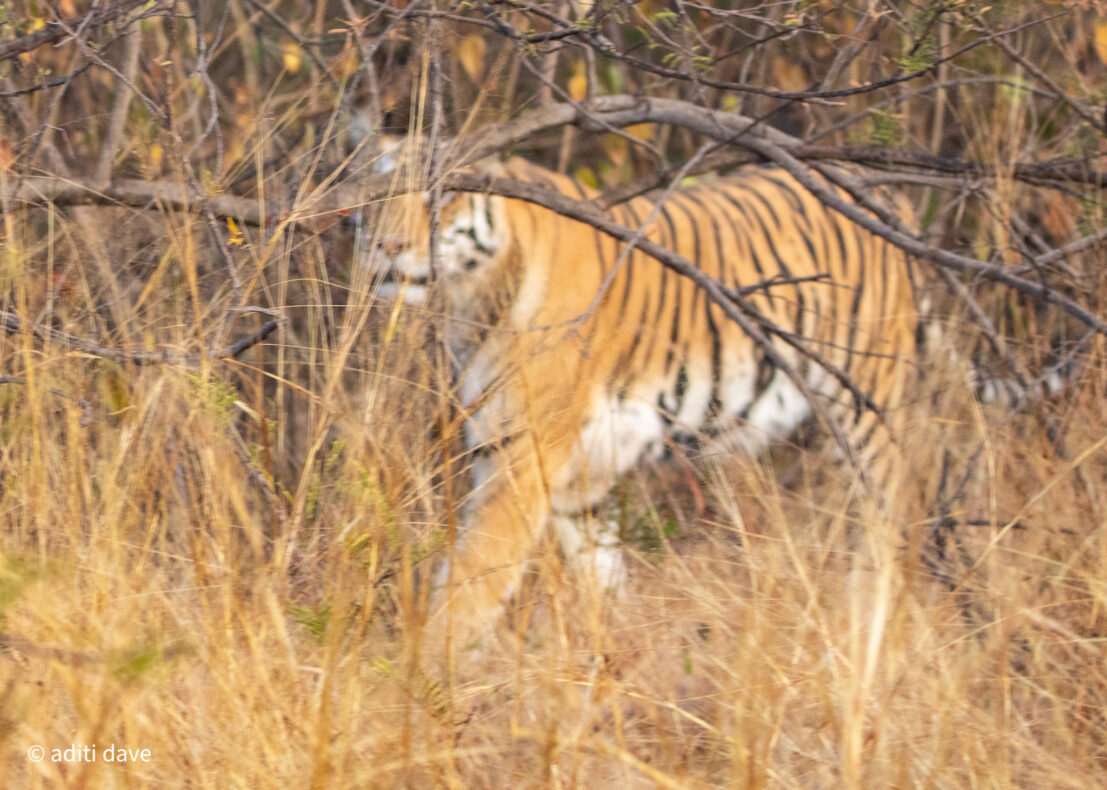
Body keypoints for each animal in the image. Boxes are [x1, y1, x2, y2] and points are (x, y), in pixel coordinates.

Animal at [367, 143, 920, 651]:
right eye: (377, 196)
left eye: (442, 196)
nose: (387, 244)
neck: (471, 300)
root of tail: (884, 187)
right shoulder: (560, 472)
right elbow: (598, 579)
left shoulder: (522, 454)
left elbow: (474, 577)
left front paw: (424, 671)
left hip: (868, 414)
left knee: (885, 540)